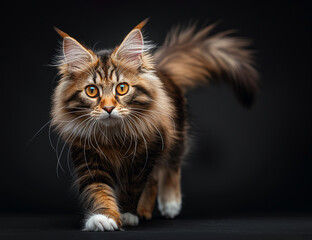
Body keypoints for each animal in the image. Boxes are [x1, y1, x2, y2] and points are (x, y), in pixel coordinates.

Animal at [50, 19, 258, 232]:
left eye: (122, 88)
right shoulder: (89, 159)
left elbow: (134, 187)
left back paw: (169, 204)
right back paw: (145, 210)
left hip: (175, 137)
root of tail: (163, 72)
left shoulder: (145, 155)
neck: (113, 137)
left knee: (170, 168)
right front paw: (104, 217)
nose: (108, 108)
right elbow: (99, 190)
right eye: (92, 91)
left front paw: (127, 214)